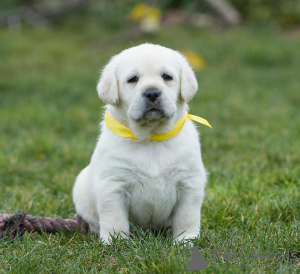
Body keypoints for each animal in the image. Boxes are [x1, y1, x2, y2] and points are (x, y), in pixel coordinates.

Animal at [72, 42, 209, 244]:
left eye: (167, 77)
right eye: (133, 79)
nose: (152, 93)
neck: (151, 138)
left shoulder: (189, 183)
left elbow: (187, 217)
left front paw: (185, 241)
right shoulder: (113, 185)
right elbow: (115, 219)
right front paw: (116, 242)